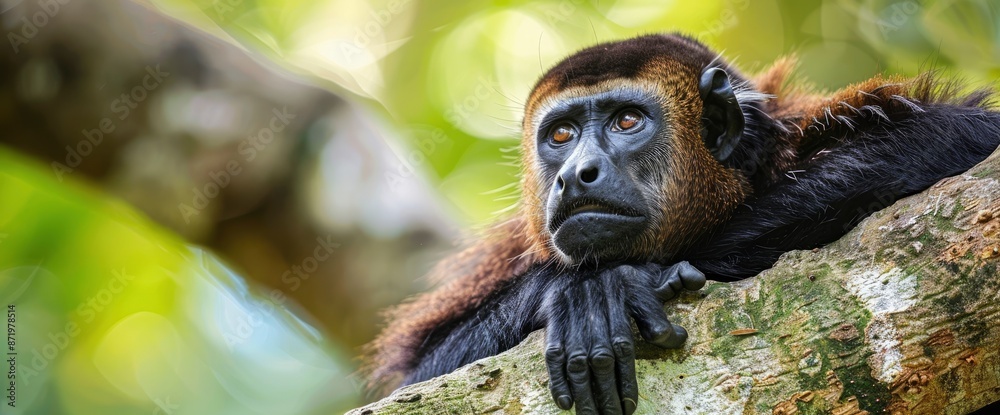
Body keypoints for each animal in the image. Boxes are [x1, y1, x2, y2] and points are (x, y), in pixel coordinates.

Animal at [364, 34, 1000, 415]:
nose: (575, 174)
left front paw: (615, 284)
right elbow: (423, 374)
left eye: (626, 121)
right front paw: (577, 291)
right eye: (561, 135)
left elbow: (954, 133)